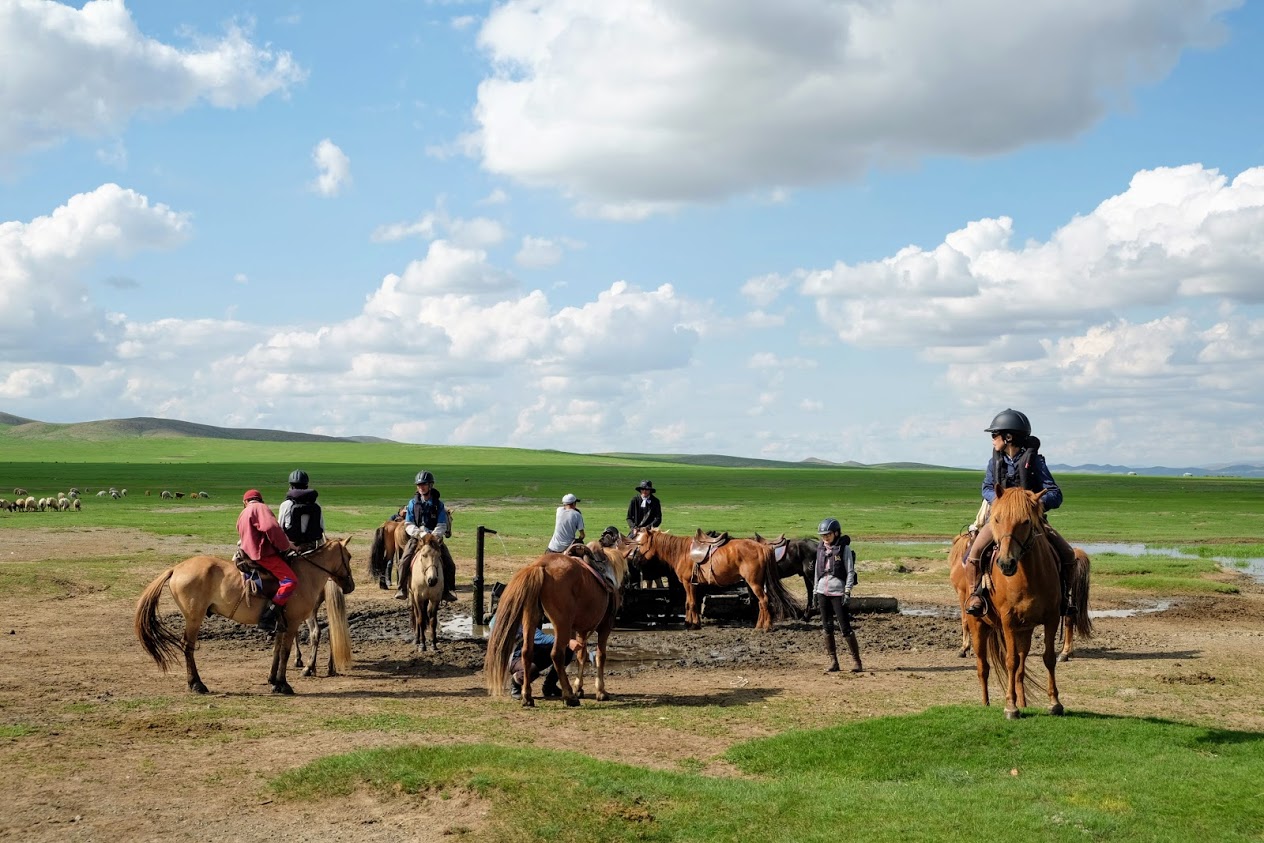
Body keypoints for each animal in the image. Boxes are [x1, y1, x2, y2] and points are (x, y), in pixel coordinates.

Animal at [135, 538, 356, 697]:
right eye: (349, 556)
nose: (350, 585)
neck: (305, 574)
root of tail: (176, 568)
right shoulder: (292, 623)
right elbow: (285, 652)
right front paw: (283, 684)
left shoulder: (280, 624)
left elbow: (276, 651)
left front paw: (273, 681)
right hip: (194, 618)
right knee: (187, 647)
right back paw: (196, 684)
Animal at [482, 548, 621, 707]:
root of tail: (540, 566)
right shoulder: (605, 628)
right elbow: (600, 656)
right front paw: (600, 691)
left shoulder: (581, 630)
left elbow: (581, 655)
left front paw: (579, 688)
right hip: (562, 625)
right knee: (557, 654)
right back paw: (569, 696)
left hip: (530, 619)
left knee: (526, 652)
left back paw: (527, 696)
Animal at [629, 530, 798, 629]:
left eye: (641, 542)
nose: (634, 560)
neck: (682, 552)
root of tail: (763, 547)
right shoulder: (694, 585)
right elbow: (692, 603)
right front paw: (693, 623)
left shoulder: (688, 583)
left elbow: (690, 603)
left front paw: (691, 624)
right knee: (762, 602)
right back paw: (761, 625)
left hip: (754, 582)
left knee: (763, 600)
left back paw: (764, 627)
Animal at [950, 487, 1092, 717]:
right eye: (997, 519)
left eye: (1026, 521)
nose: (1006, 563)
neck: (1028, 577)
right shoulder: (1007, 620)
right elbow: (1010, 661)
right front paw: (1010, 706)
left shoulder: (1051, 618)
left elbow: (1047, 658)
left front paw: (1055, 703)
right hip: (979, 624)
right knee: (983, 666)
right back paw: (986, 703)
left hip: (1025, 630)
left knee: (1020, 668)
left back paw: (1024, 701)